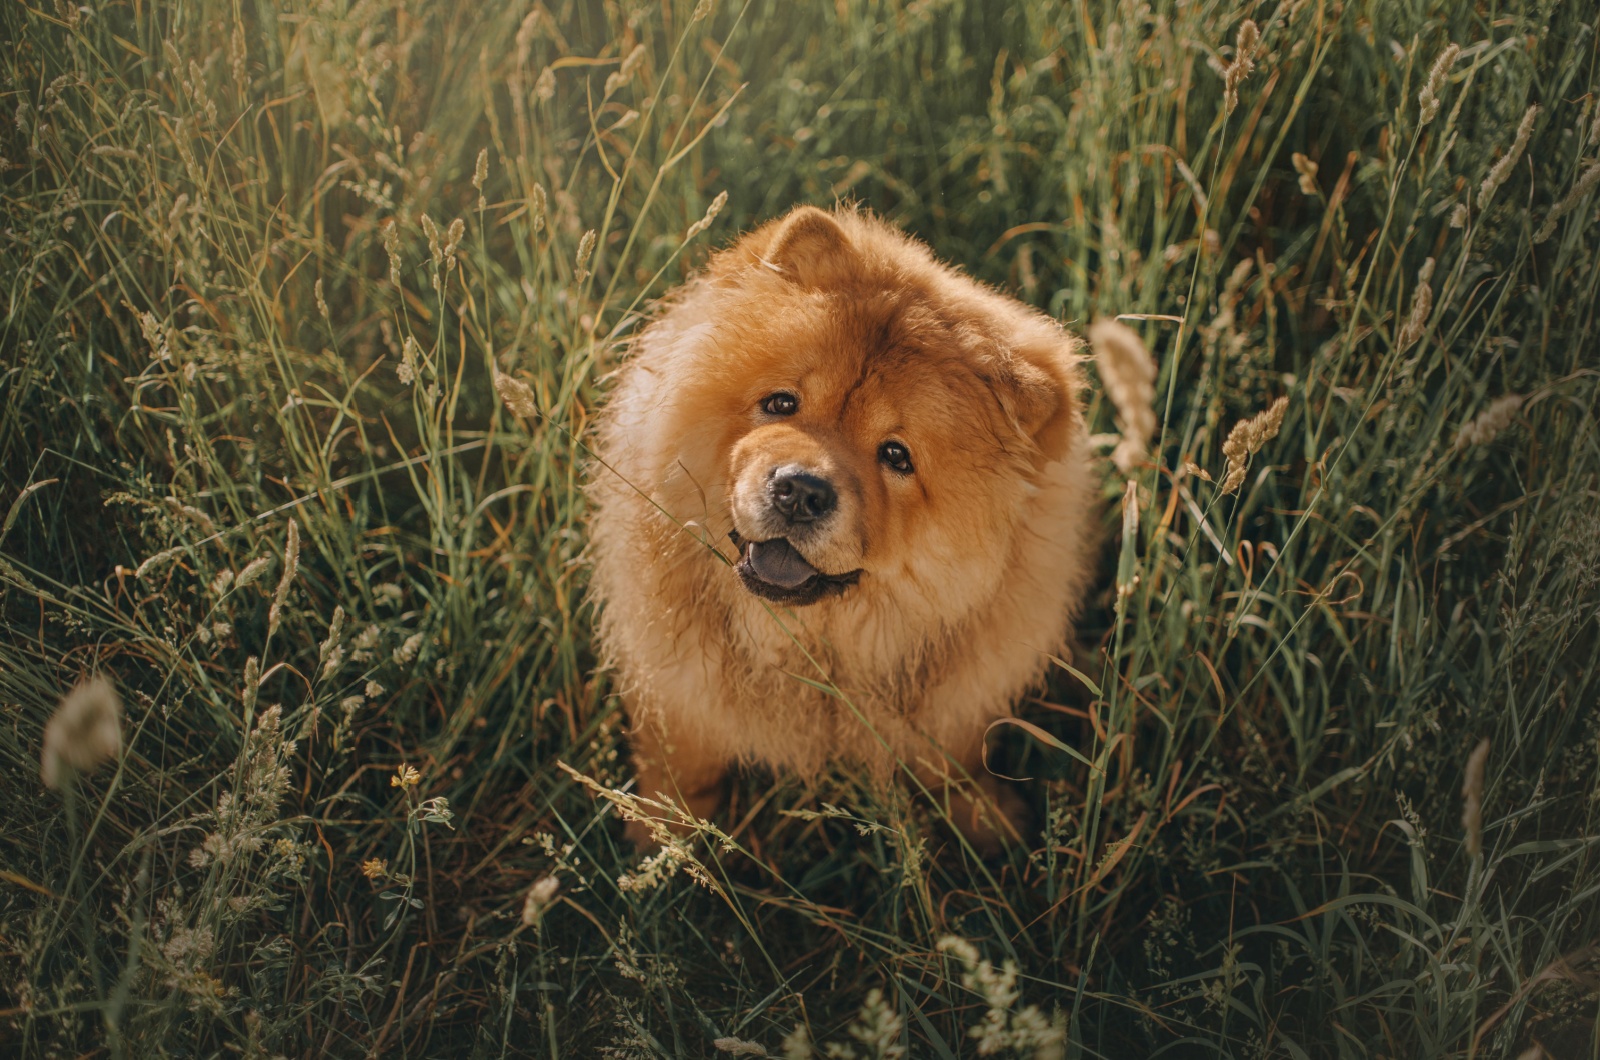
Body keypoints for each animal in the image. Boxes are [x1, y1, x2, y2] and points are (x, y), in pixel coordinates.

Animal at [588, 204, 1100, 858]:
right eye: (781, 403)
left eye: (897, 456)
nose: (801, 492)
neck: (810, 650)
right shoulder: (677, 687)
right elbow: (685, 762)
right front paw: (664, 834)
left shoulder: (957, 701)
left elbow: (957, 761)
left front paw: (987, 823)